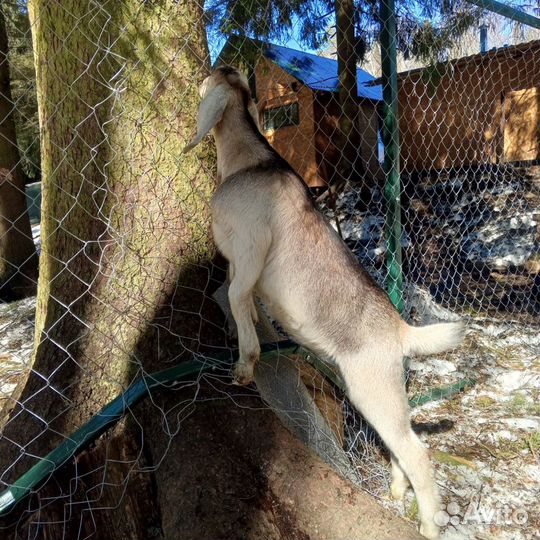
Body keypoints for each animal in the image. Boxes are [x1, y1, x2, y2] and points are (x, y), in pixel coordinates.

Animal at [185, 67, 464, 540]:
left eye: (210, 81)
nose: (197, 82)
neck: (252, 162)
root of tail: (400, 330)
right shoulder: (243, 262)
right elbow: (244, 297)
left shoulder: (250, 248)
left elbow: (236, 293)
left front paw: (245, 361)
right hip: (375, 391)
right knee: (398, 442)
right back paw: (395, 488)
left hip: (374, 388)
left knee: (417, 451)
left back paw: (427, 523)